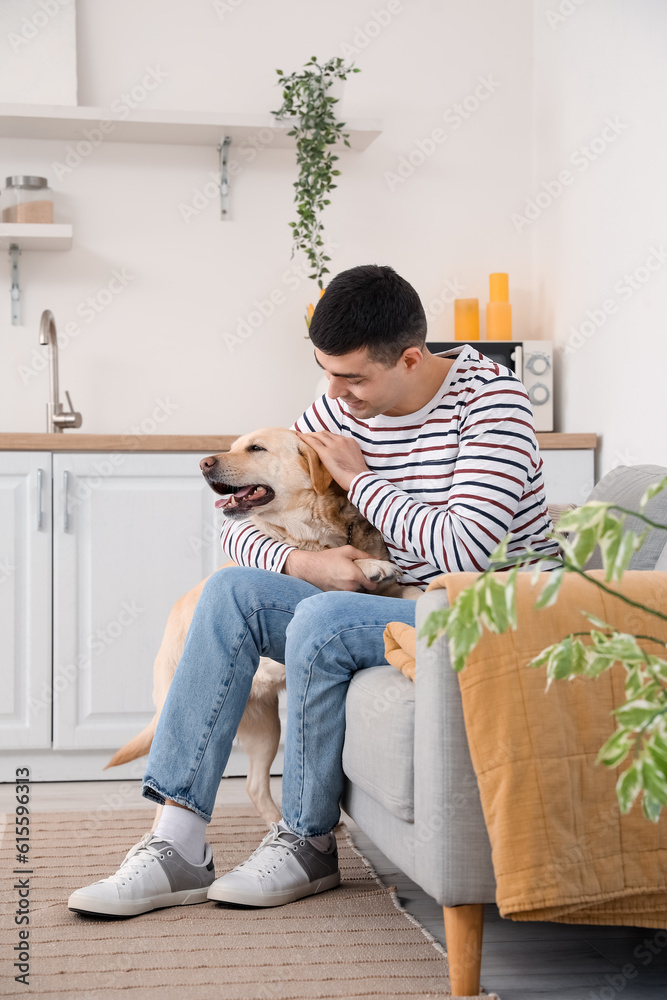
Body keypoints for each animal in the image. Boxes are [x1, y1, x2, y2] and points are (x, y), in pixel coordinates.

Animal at [107, 430, 420, 828]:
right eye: (235, 446)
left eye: (256, 448)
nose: (203, 462)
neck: (311, 536)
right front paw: (367, 566)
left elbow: (406, 592)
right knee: (167, 796)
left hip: (266, 730)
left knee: (254, 785)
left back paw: (276, 823)